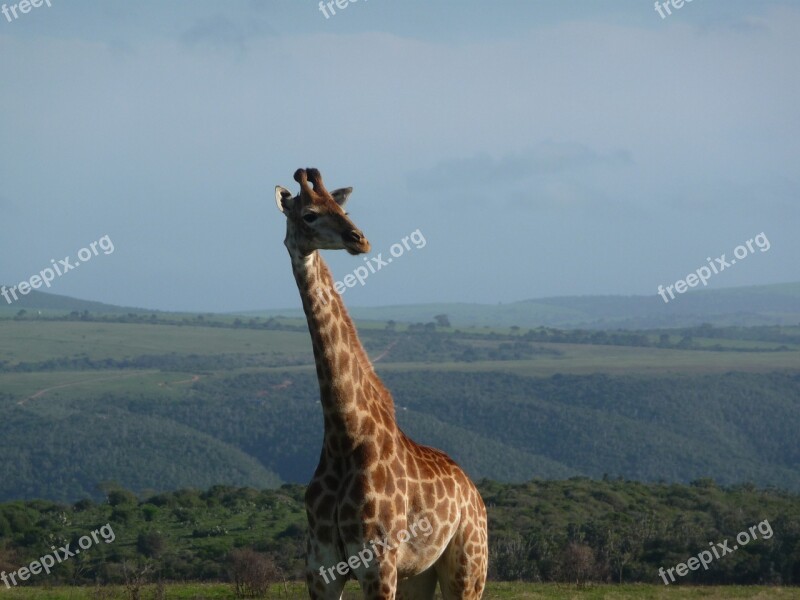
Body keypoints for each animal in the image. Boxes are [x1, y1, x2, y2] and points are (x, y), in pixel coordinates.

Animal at [276, 169, 488, 600]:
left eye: (341, 208)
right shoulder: (321, 569)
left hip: (467, 567)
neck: (344, 438)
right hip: (418, 576)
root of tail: (474, 493)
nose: (359, 239)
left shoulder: (378, 565)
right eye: (309, 214)